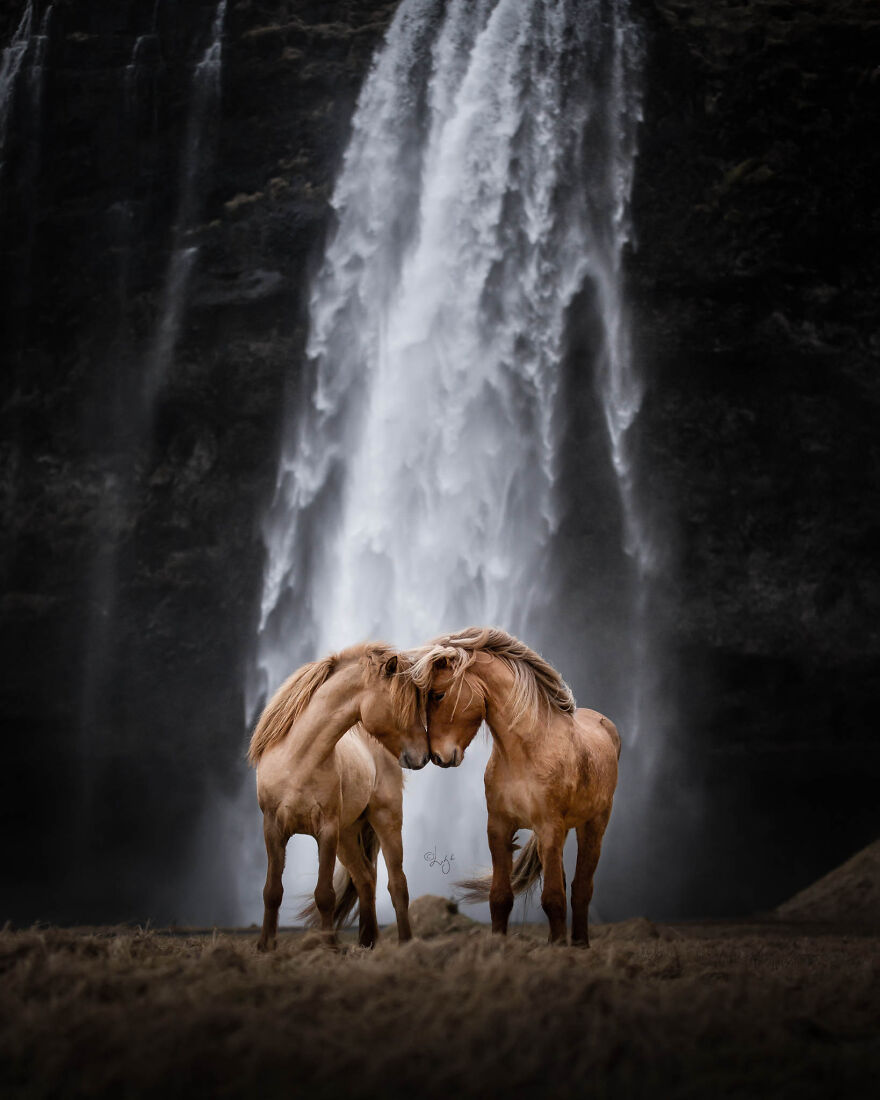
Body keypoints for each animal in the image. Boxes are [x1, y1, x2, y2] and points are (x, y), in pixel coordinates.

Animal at [248, 642, 429, 951]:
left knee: (397, 885)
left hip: (385, 821)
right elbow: (272, 891)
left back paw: (404, 943)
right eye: (401, 704)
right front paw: (265, 945)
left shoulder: (327, 831)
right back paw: (368, 942)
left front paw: (329, 947)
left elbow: (325, 895)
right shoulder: (273, 829)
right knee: (365, 879)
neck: (298, 760)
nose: (422, 756)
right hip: (348, 835)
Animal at [411, 626, 620, 946]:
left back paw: (580, 945)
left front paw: (558, 948)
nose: (437, 757)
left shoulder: (549, 827)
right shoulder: (499, 827)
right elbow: (500, 897)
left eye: (439, 694)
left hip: (593, 826)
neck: (527, 752)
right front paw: (500, 944)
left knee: (581, 888)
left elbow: (554, 898)